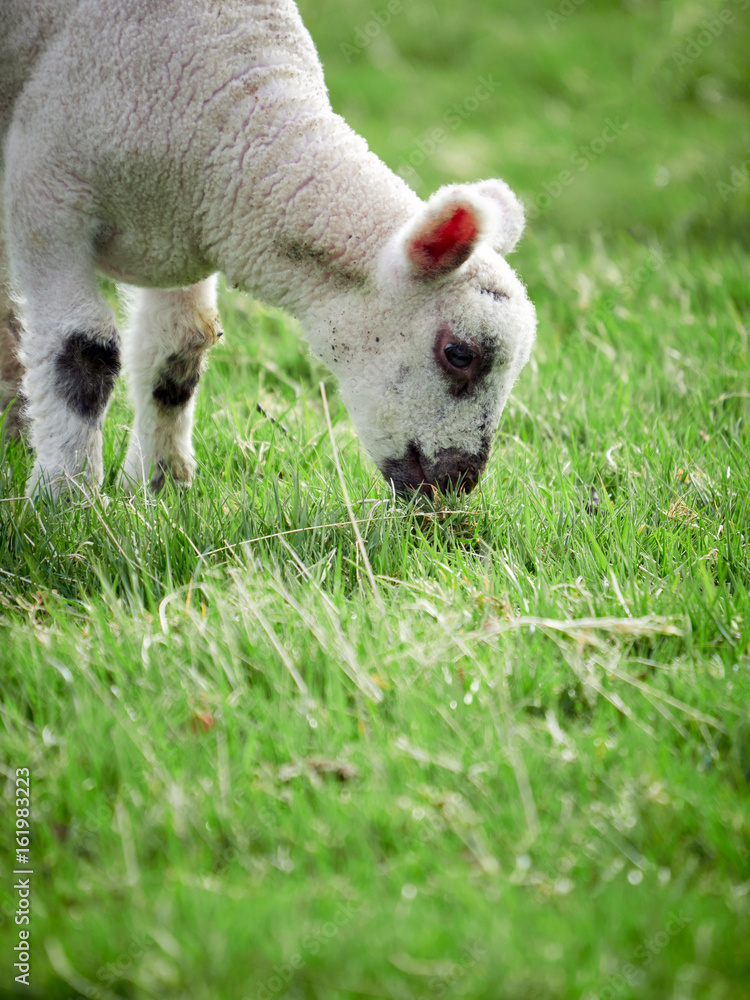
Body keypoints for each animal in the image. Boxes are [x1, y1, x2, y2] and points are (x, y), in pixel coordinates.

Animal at [0, 0, 536, 501]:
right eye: (458, 354)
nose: (459, 482)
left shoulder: (183, 228)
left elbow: (179, 348)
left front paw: (162, 489)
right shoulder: (45, 196)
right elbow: (83, 348)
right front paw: (66, 500)